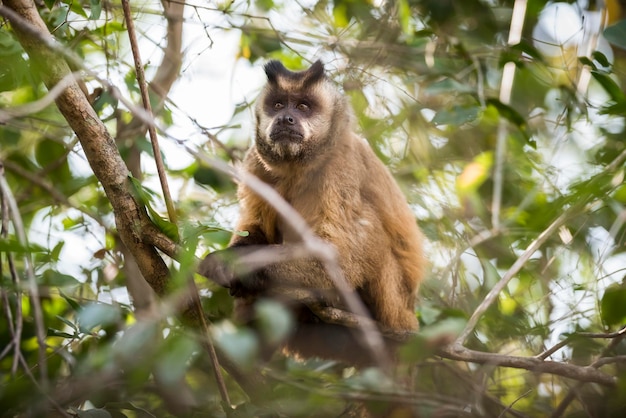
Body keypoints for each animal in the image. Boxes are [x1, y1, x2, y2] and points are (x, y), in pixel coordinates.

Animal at [200, 59, 424, 366]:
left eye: (303, 106)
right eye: (279, 105)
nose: (286, 119)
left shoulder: (341, 164)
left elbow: (339, 259)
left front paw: (236, 266)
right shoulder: (255, 163)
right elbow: (254, 227)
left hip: (394, 308)